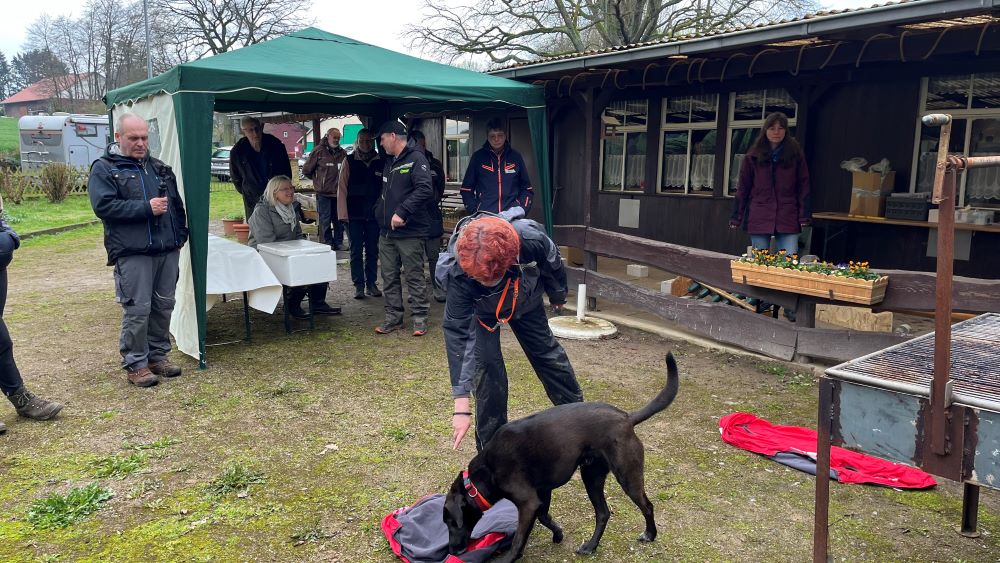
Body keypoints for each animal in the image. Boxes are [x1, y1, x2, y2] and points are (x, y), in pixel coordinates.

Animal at [444, 352, 680, 560]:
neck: (485, 471)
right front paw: (558, 534)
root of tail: (627, 418)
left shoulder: (528, 502)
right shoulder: (542, 493)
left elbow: (519, 538)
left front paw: (509, 557)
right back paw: (591, 546)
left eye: (451, 522)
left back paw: (649, 534)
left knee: (647, 505)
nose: (453, 551)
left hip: (627, 476)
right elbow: (544, 517)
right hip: (591, 476)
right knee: (603, 513)